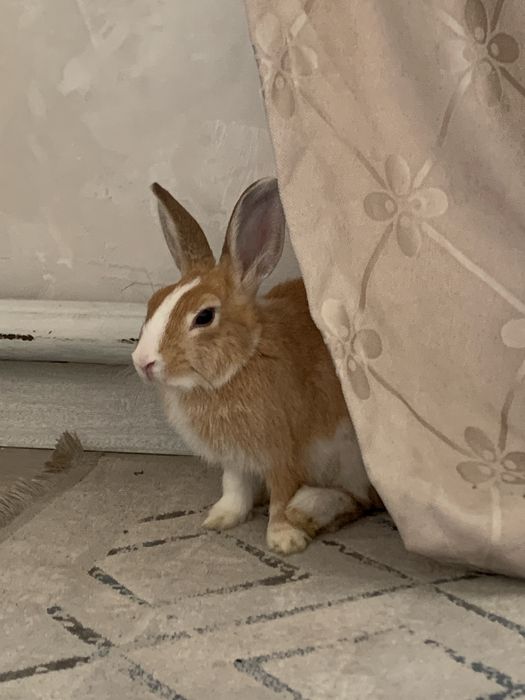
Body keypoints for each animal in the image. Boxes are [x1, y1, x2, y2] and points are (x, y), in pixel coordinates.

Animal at [132, 177, 381, 555]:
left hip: (351, 458)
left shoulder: (285, 451)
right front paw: (221, 518)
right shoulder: (236, 459)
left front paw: (283, 539)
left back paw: (308, 510)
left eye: (204, 317)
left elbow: (282, 495)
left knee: (357, 500)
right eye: (153, 301)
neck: (240, 364)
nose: (142, 361)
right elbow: (234, 486)